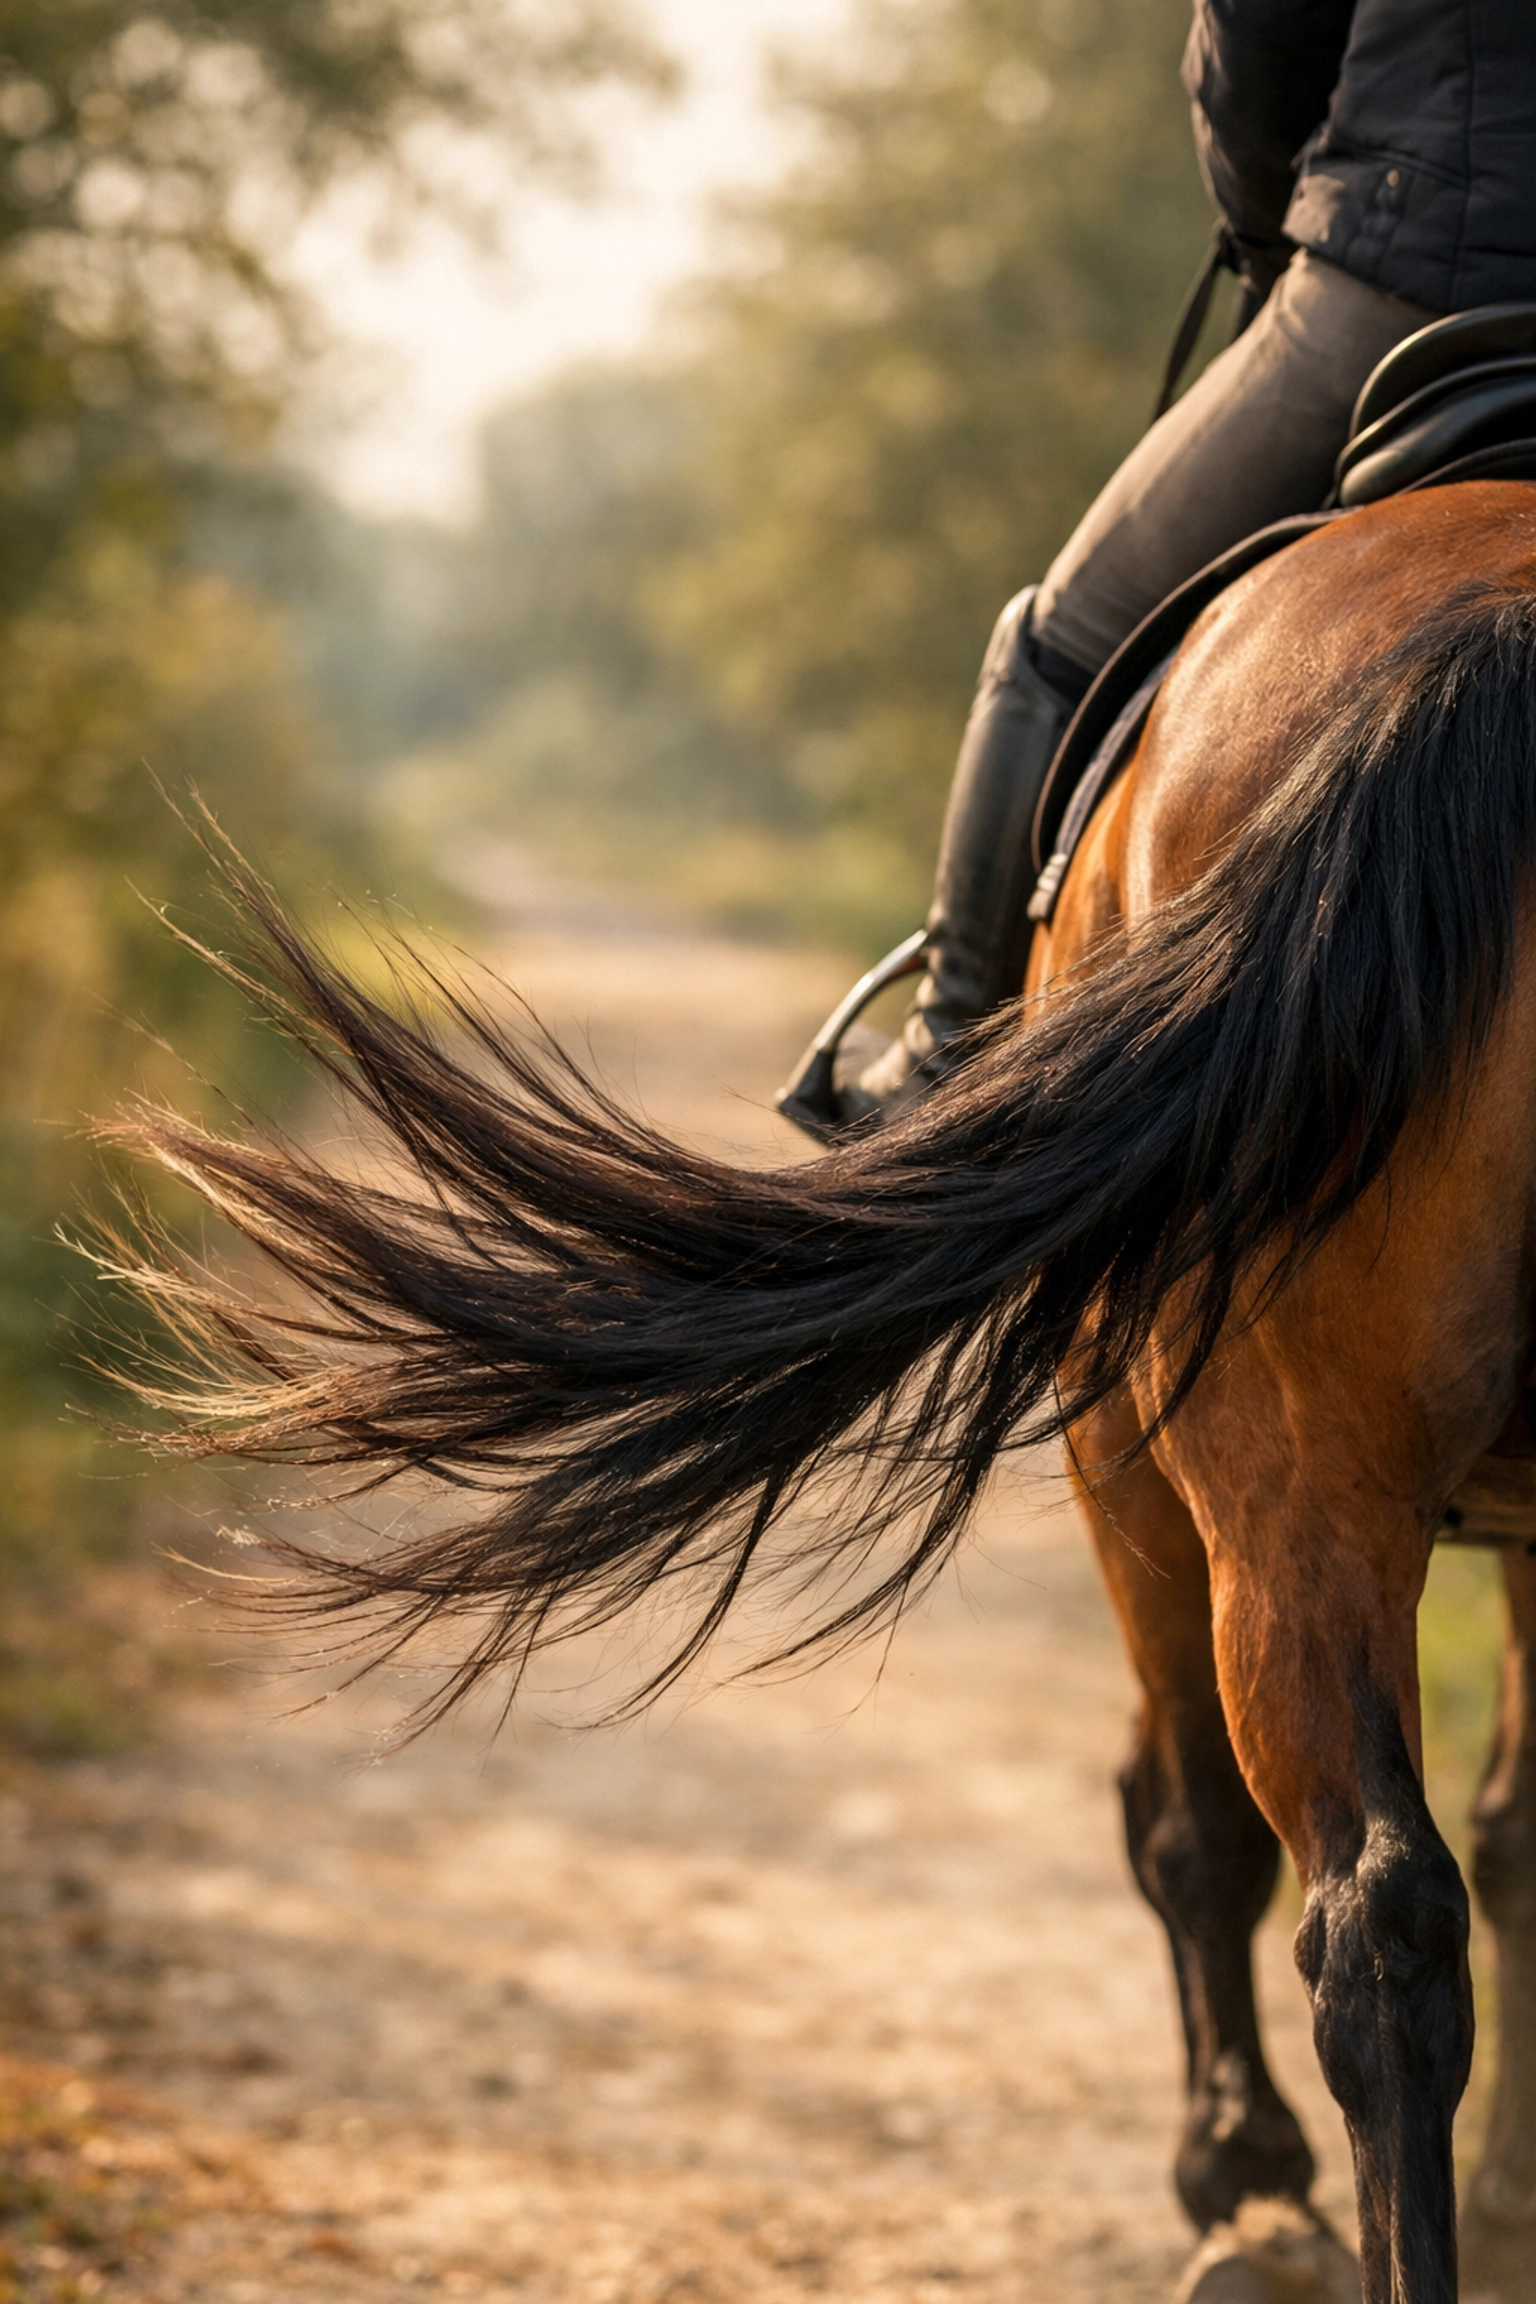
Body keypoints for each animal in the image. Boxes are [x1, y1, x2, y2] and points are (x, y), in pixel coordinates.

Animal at [106, 479, 1536, 2304]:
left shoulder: (1140, 1446)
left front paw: (1244, 2177)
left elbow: (1194, 1821)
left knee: (1368, 1916)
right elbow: (1487, 1832)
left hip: (1273, 1473)